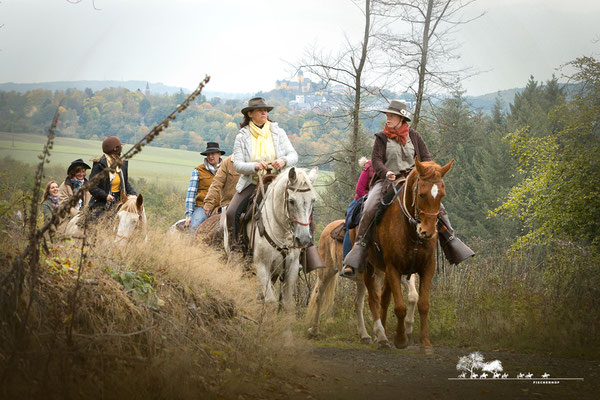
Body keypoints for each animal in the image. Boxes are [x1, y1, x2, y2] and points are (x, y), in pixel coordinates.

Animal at [225, 167, 318, 310]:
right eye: (291, 201)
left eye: (313, 200)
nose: (303, 239)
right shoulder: (262, 266)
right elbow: (270, 301)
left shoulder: (292, 268)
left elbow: (286, 303)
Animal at [364, 156, 452, 354]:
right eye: (421, 195)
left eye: (441, 195)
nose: (427, 232)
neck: (411, 233)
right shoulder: (393, 269)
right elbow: (400, 307)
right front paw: (401, 339)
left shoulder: (428, 268)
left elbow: (423, 305)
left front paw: (425, 343)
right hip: (368, 268)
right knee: (374, 299)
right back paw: (381, 337)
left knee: (384, 298)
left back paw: (383, 335)